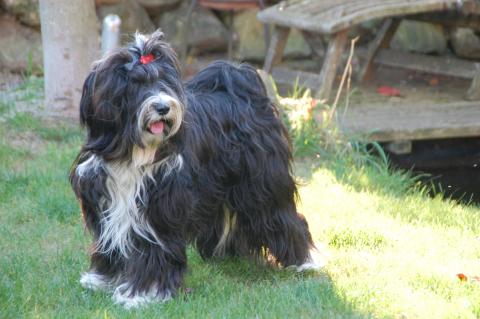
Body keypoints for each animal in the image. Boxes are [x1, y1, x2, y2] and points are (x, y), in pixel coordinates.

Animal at [68, 30, 322, 310]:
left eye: (165, 83)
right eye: (136, 86)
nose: (163, 107)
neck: (132, 155)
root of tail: (240, 86)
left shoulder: (158, 211)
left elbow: (153, 249)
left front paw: (144, 292)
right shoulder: (107, 202)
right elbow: (110, 240)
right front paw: (102, 279)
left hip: (263, 182)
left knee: (282, 215)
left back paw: (302, 262)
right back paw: (225, 254)